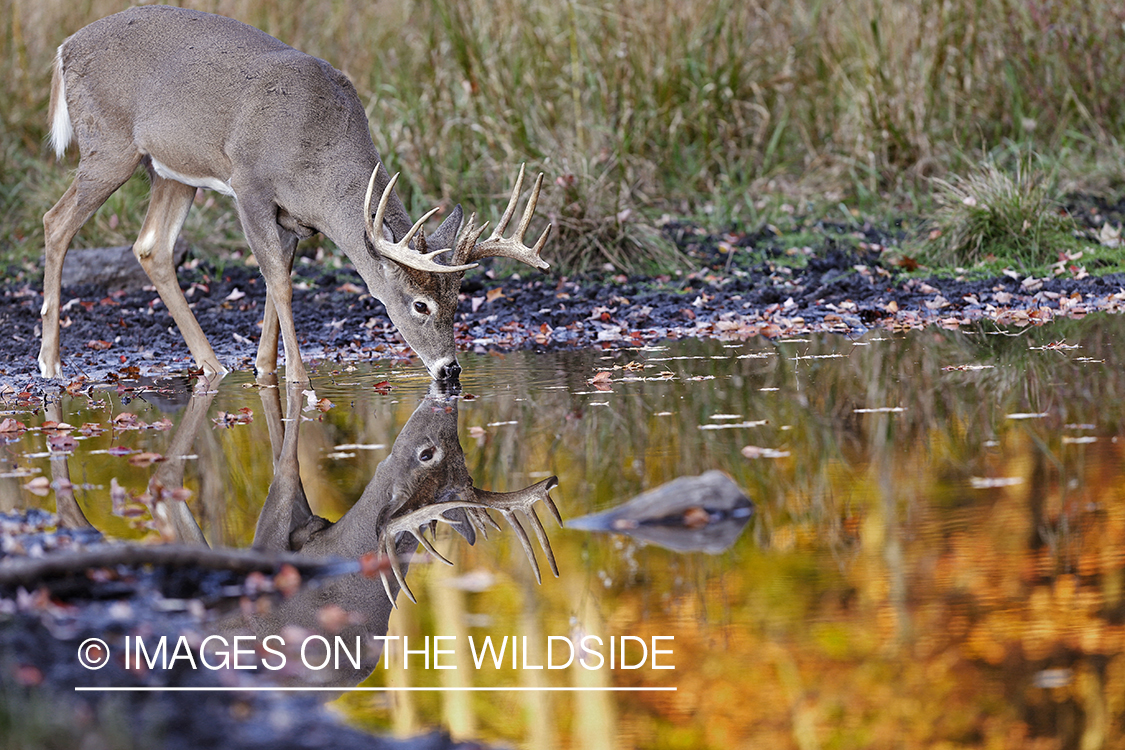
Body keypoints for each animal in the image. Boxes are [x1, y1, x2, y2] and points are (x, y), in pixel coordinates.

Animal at [41, 2, 551, 384]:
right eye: (419, 304)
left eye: (458, 299)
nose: (450, 370)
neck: (316, 150)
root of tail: (64, 48)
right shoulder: (249, 185)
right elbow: (280, 282)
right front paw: (298, 380)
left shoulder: (294, 219)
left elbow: (275, 280)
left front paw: (265, 369)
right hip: (110, 147)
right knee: (56, 221)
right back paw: (51, 362)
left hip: (172, 172)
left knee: (152, 246)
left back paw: (212, 366)